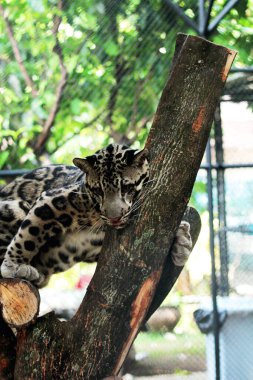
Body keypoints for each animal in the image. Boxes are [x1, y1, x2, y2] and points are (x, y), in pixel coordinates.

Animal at [0, 144, 191, 286]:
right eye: (98, 190)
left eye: (126, 188)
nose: (114, 217)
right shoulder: (51, 200)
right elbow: (28, 235)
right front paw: (14, 265)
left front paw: (182, 242)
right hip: (15, 207)